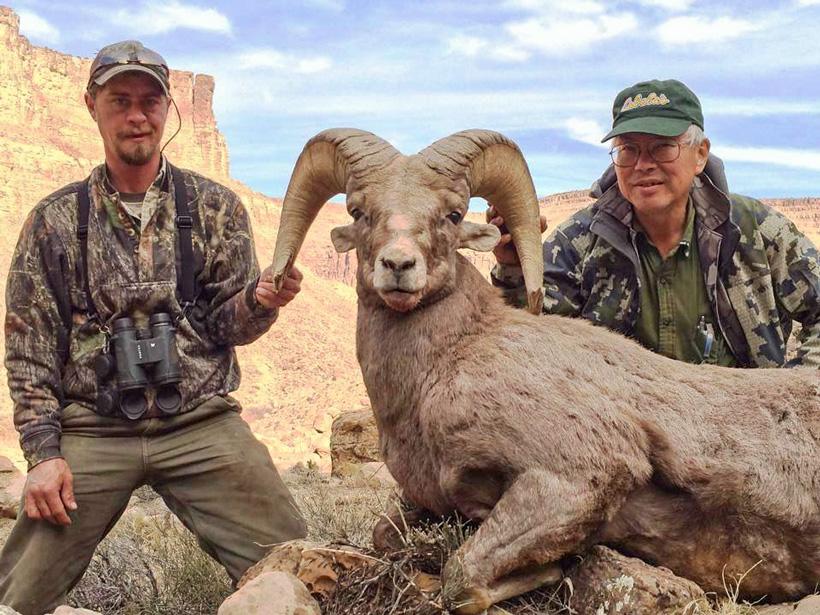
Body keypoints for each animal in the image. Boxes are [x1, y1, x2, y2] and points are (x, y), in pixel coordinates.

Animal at [271, 128, 820, 614]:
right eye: (359, 211)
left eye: (452, 213)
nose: (398, 266)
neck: (442, 368)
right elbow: (387, 536)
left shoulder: (574, 477)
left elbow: (461, 579)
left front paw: (554, 568)